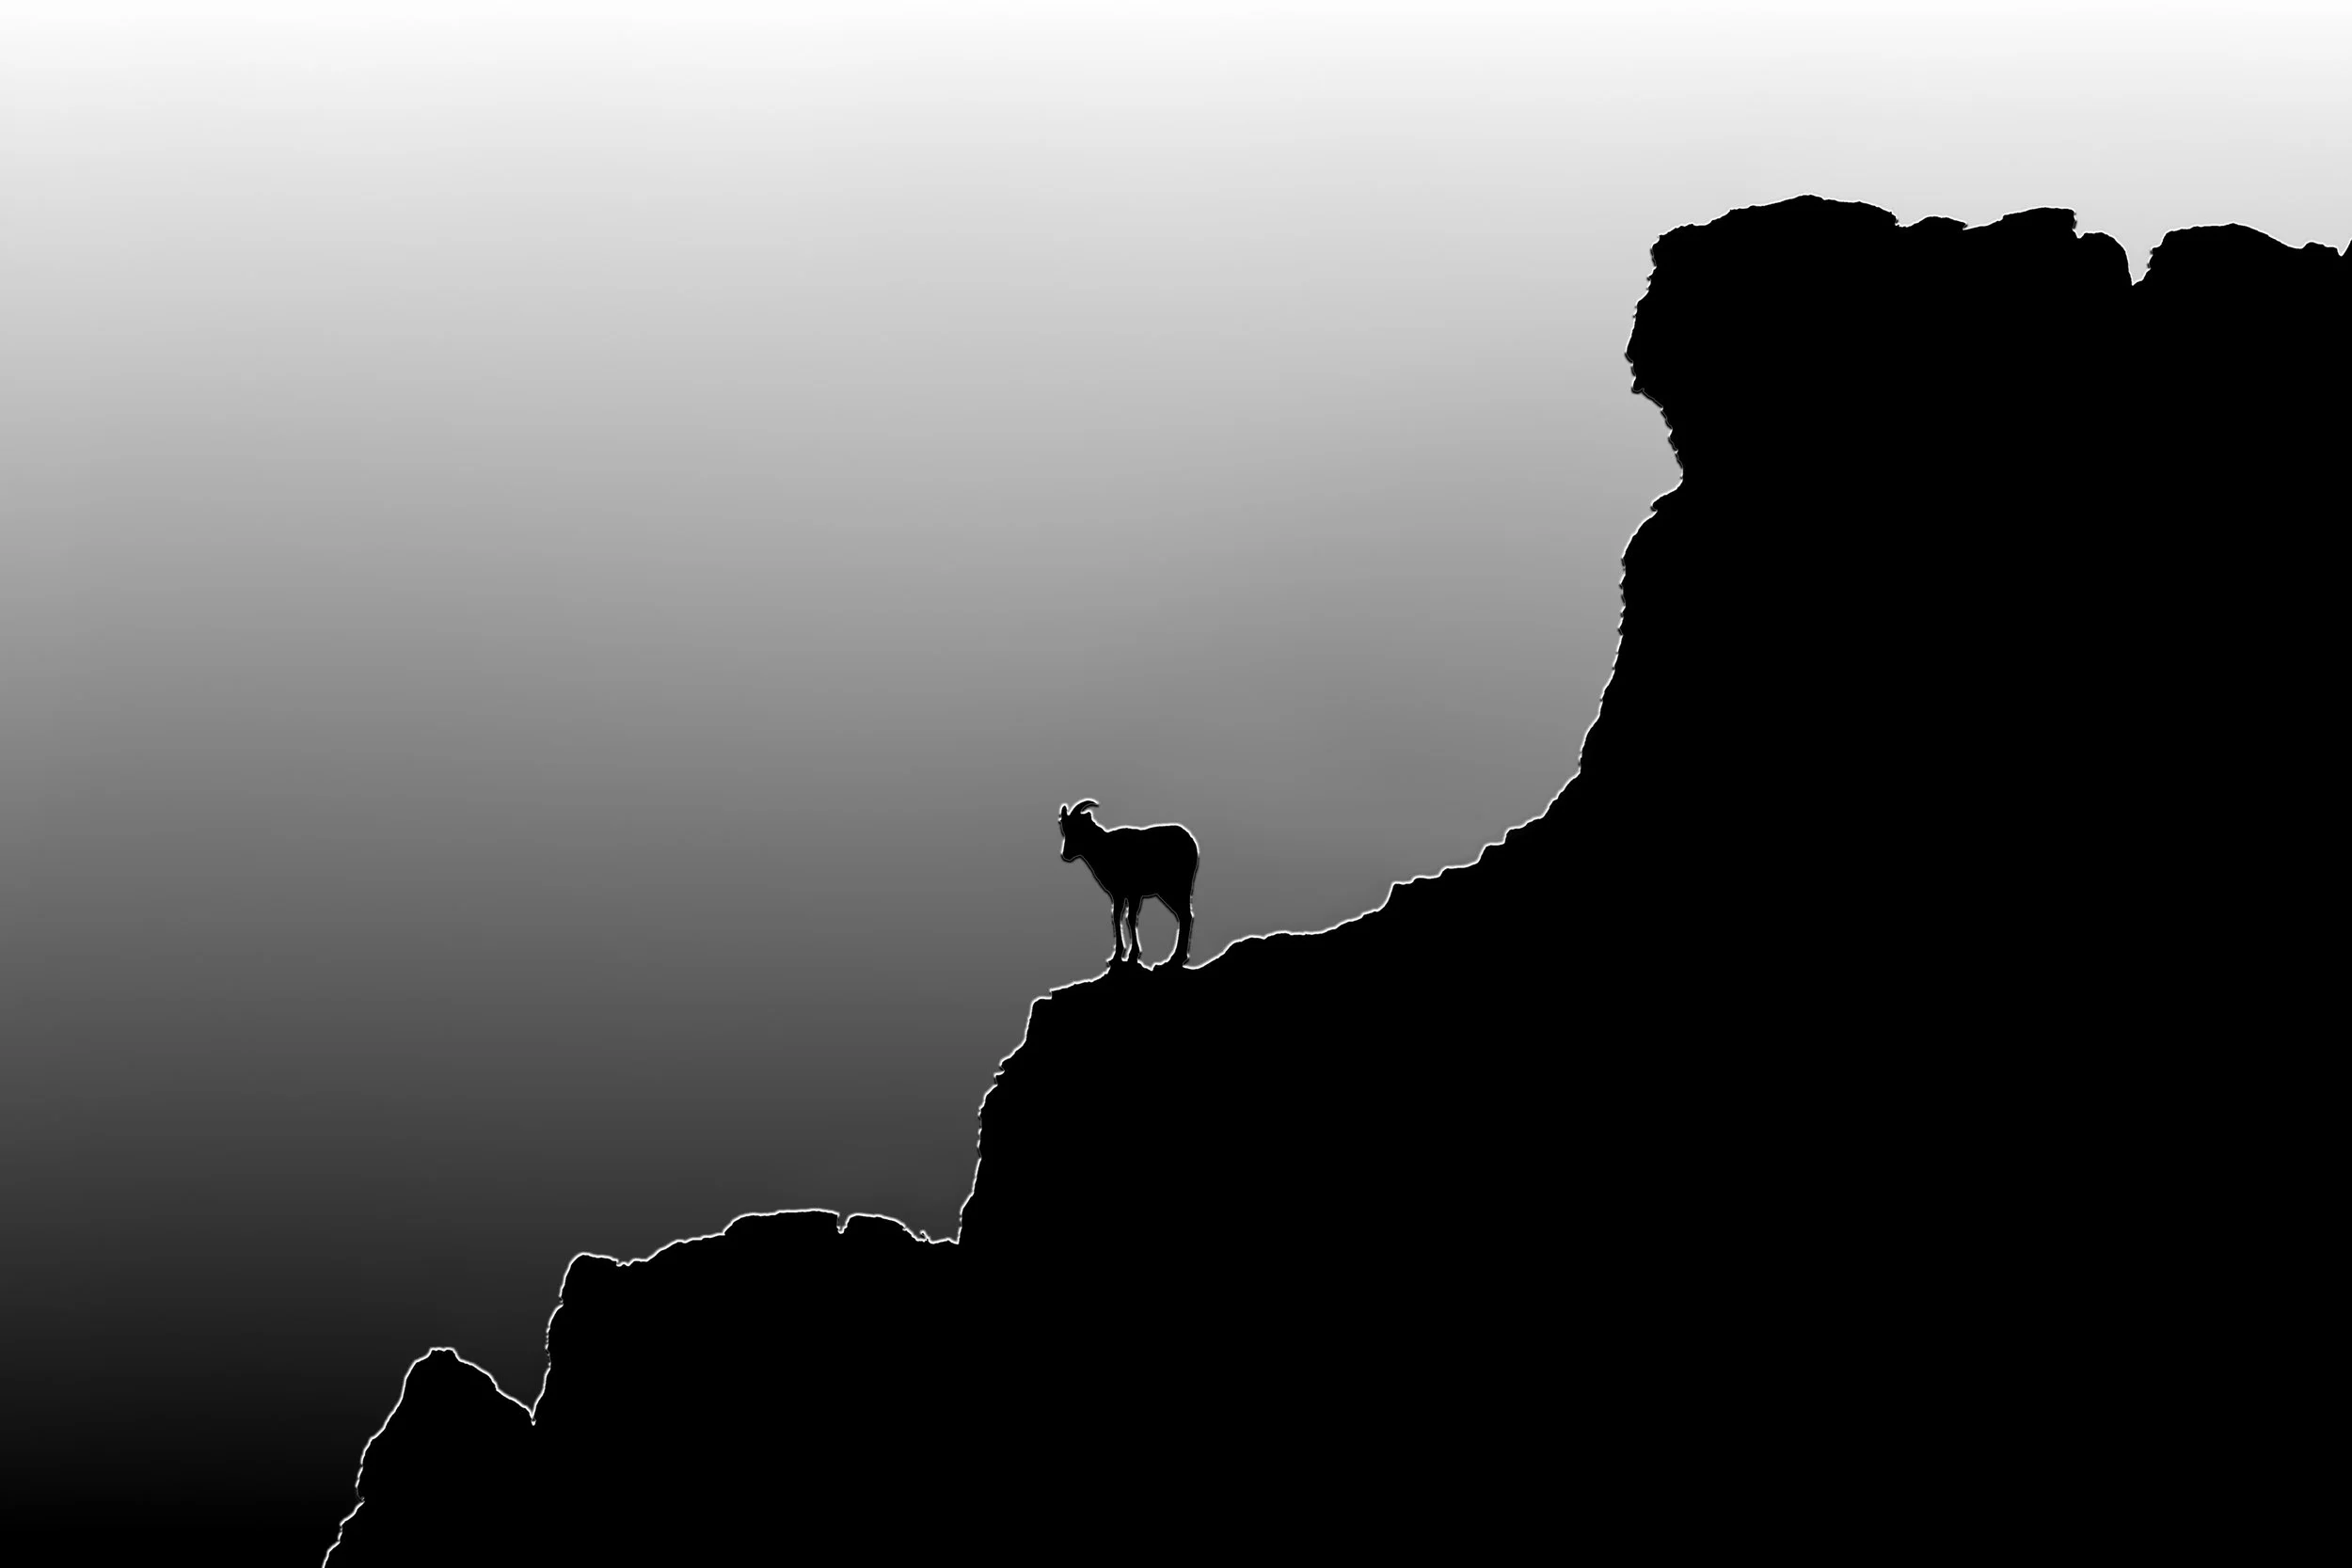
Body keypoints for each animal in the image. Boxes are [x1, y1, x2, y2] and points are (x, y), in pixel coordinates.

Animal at [1056, 799, 1199, 968]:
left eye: (1078, 827)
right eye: (1065, 829)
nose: (1066, 854)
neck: (1104, 849)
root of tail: (1192, 844)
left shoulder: (1134, 893)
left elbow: (1130, 918)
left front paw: (1133, 955)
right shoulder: (1117, 894)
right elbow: (1116, 916)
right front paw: (1116, 956)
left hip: (1177, 887)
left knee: (1185, 915)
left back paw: (1177, 958)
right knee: (1183, 915)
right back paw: (1176, 958)